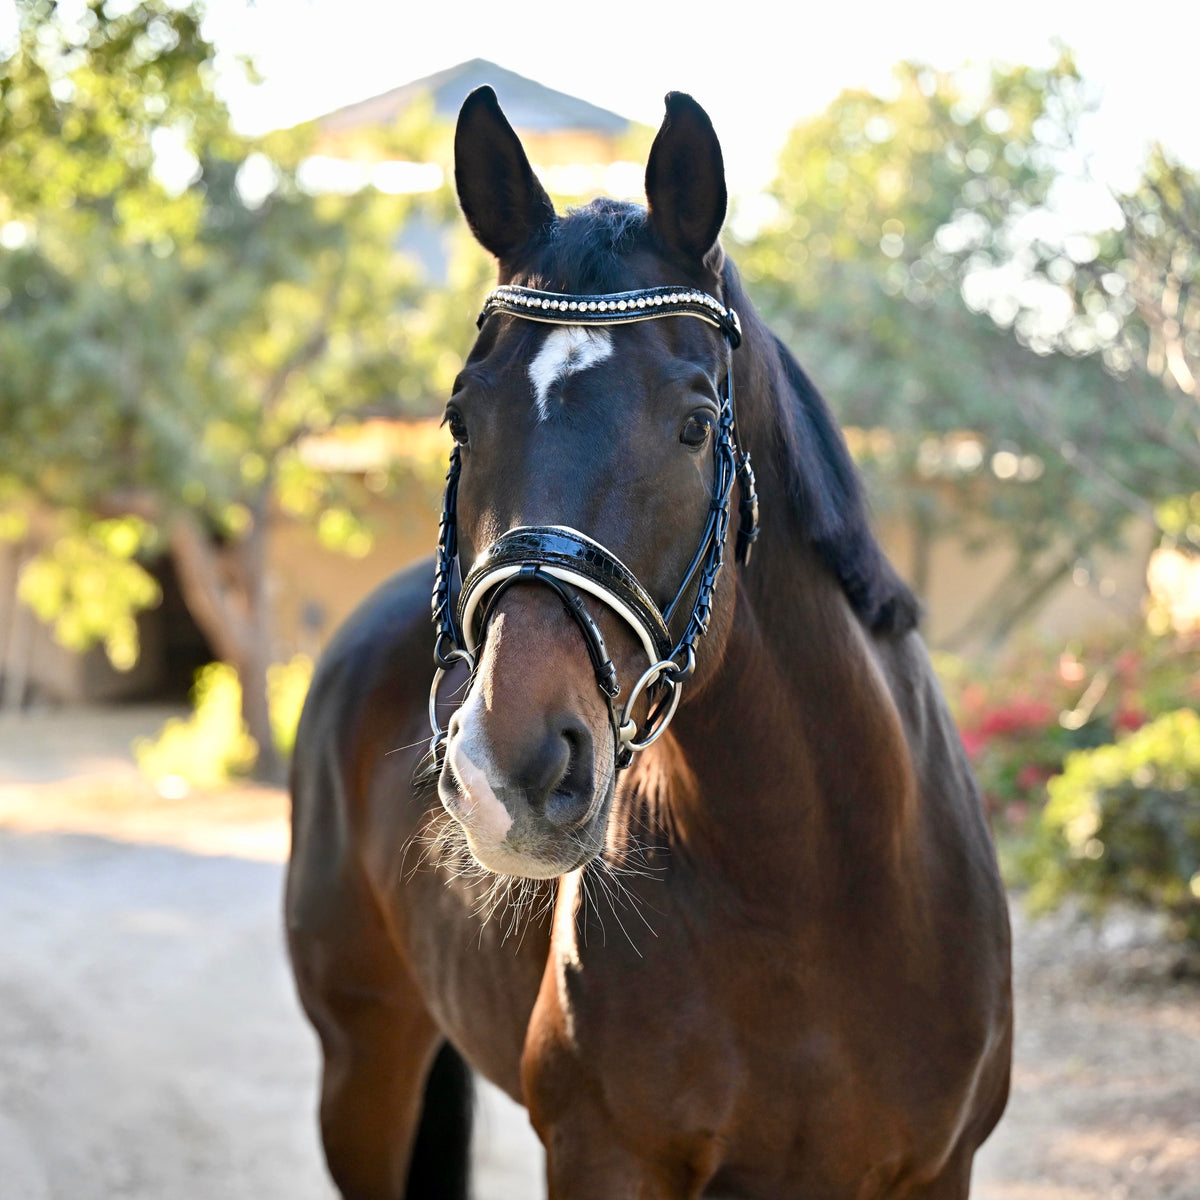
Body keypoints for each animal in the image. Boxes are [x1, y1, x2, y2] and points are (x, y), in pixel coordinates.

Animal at [288, 87, 1012, 1200]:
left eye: (695, 423)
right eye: (462, 419)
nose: (509, 770)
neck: (811, 887)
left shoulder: (940, 1169)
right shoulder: (604, 1156)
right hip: (362, 1068)